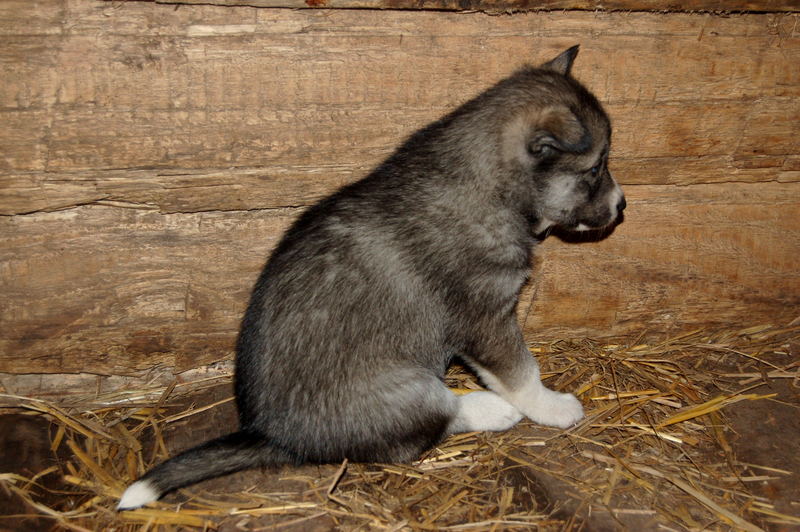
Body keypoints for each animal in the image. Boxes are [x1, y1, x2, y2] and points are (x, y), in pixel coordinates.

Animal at [117, 43, 624, 510]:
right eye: (595, 167)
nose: (622, 206)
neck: (492, 186)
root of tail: (273, 438)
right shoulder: (486, 318)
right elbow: (522, 372)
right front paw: (552, 407)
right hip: (404, 386)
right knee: (429, 422)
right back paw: (491, 410)